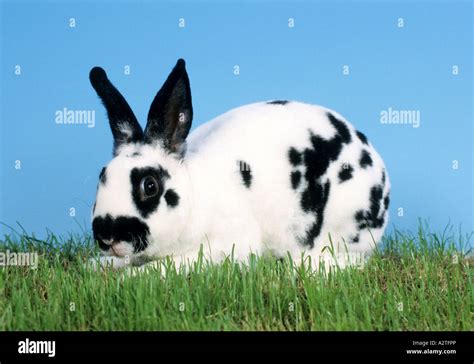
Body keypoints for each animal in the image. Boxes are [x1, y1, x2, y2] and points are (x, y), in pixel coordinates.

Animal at [88, 58, 388, 272]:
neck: (196, 195)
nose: (106, 235)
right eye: (102, 176)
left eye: (150, 186)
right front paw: (98, 265)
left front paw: (128, 277)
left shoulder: (223, 246)